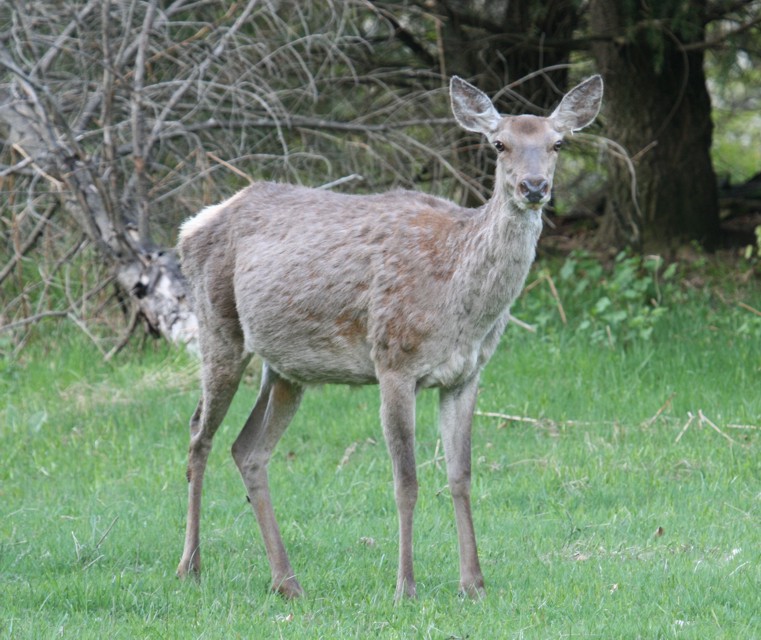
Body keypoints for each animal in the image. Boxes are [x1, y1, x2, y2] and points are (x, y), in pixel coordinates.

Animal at [175, 72, 604, 604]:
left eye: (558, 143)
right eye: (499, 144)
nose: (534, 187)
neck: (461, 304)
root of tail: (192, 224)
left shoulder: (467, 374)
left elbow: (460, 476)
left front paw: (473, 583)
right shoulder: (394, 361)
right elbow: (407, 481)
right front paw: (406, 586)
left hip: (287, 368)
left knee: (248, 450)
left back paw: (287, 581)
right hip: (217, 327)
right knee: (199, 434)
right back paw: (191, 567)